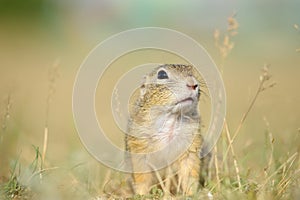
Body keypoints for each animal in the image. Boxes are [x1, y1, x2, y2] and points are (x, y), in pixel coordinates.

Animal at [125, 63, 210, 195]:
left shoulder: (191, 145)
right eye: (162, 74)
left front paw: (191, 193)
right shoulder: (139, 146)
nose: (193, 84)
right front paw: (141, 194)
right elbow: (142, 175)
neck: (171, 119)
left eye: (192, 71)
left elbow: (189, 172)